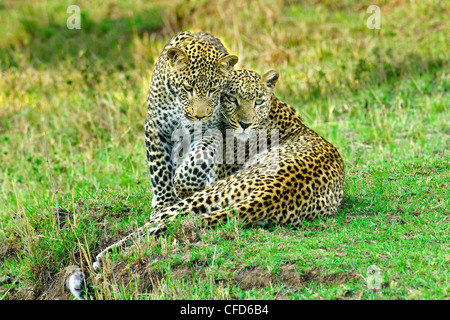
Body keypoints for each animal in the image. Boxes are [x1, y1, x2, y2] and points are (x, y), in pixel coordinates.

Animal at [145, 30, 239, 212]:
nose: (199, 116)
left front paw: (183, 185)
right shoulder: (156, 129)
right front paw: (164, 202)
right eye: (188, 88)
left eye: (212, 90)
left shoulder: (212, 130)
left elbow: (199, 158)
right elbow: (160, 169)